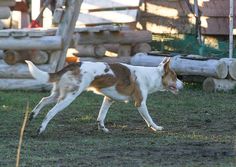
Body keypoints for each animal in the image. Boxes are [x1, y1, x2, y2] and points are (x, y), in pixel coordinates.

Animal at [26, 57, 184, 134]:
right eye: (175, 77)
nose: (183, 85)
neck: (151, 76)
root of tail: (74, 64)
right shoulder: (140, 103)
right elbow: (149, 119)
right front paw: (156, 128)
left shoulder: (108, 99)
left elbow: (101, 117)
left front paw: (102, 128)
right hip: (69, 97)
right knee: (50, 112)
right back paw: (41, 129)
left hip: (59, 94)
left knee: (43, 100)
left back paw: (32, 115)